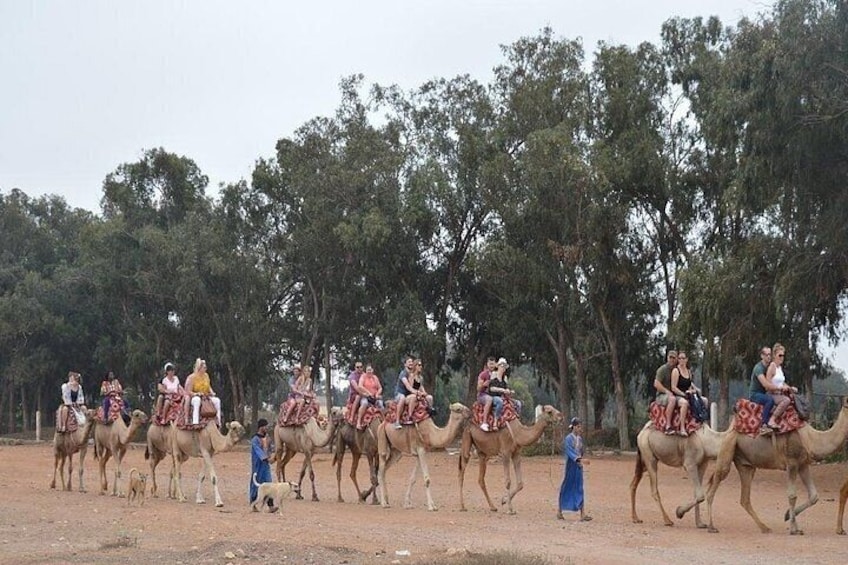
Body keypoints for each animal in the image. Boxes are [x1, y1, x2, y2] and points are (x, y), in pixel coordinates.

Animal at [704, 392, 848, 532]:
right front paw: (793, 529)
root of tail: (730, 428)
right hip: (728, 447)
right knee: (713, 487)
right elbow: (792, 495)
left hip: (745, 464)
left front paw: (788, 516)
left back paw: (765, 527)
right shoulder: (792, 462)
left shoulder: (803, 464)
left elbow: (814, 496)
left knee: (744, 498)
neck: (810, 439)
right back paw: (711, 526)